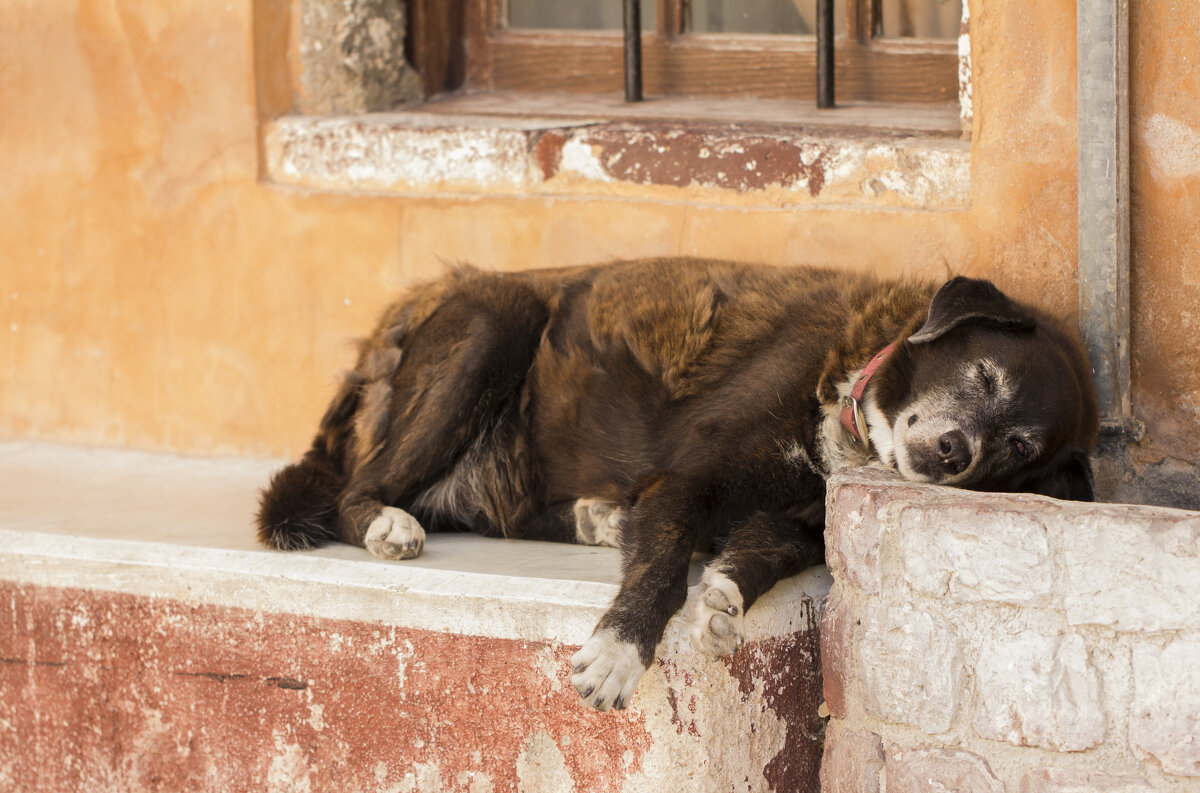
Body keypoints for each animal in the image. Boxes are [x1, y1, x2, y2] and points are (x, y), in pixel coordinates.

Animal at [258, 257, 1099, 710]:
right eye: (983, 373)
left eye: (1018, 447)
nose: (956, 452)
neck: (848, 407)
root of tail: (396, 319)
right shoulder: (687, 477)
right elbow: (661, 567)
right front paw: (619, 650)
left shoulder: (799, 524)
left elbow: (755, 555)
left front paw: (723, 601)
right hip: (491, 325)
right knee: (358, 489)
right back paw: (387, 523)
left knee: (496, 508)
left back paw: (596, 516)